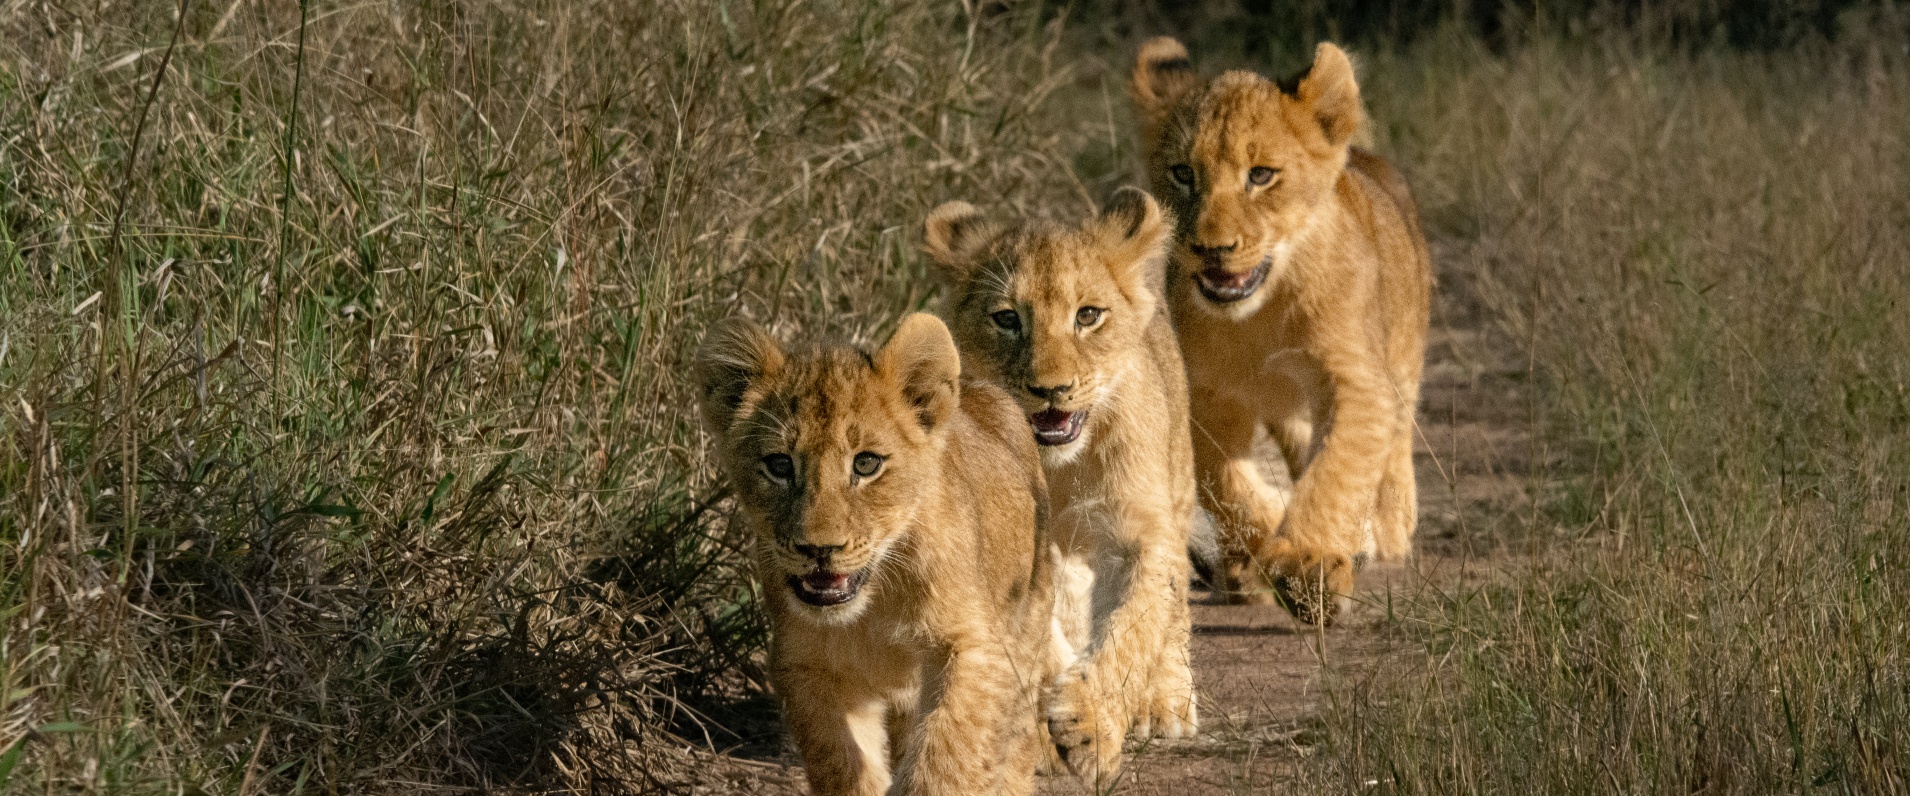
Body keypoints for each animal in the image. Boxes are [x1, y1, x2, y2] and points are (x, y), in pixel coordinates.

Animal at [694, 313, 1057, 796]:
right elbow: (841, 760)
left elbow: (947, 754)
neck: (875, 602)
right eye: (779, 465)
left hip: (1028, 631)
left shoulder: (976, 645)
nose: (820, 549)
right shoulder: (805, 665)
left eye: (866, 464)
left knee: (1015, 741)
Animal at [923, 187, 1197, 786]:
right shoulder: (1027, 545)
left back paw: (1167, 701)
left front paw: (1090, 723)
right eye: (1007, 319)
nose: (1051, 390)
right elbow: (1045, 641)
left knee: (1175, 610)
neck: (1063, 469)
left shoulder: (1142, 528)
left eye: (1088, 315)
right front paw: (1052, 731)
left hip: (1179, 484)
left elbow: (1136, 625)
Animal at [1131, 38, 1433, 625]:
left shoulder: (1356, 379)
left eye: (1261, 175)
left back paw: (1387, 525)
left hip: (1403, 358)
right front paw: (1268, 540)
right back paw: (1242, 567)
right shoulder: (1209, 395)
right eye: (1182, 174)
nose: (1212, 249)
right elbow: (1225, 483)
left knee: (1393, 444)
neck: (1260, 315)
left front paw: (1306, 567)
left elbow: (1337, 470)